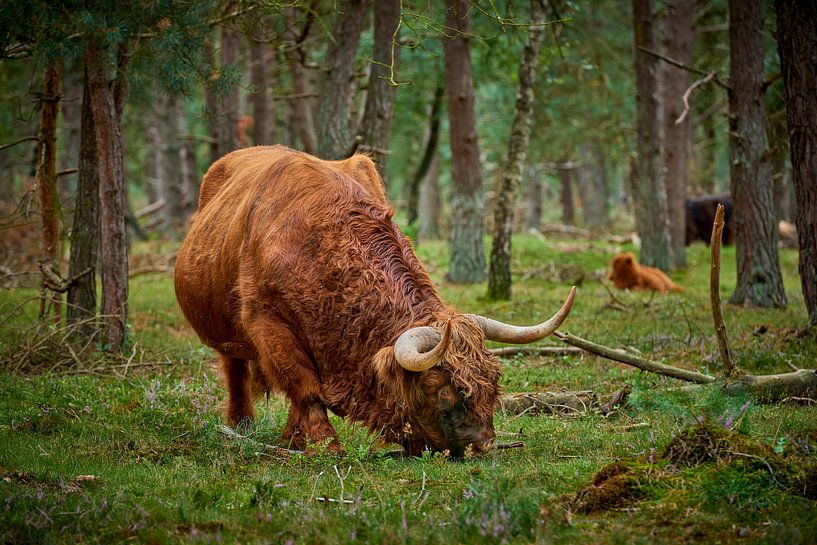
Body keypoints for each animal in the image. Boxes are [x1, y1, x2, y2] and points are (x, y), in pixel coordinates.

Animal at [175, 147, 572, 456]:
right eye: (443, 389)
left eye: (493, 380)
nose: (483, 443)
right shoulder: (268, 323)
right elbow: (304, 388)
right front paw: (328, 448)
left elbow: (300, 396)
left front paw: (294, 441)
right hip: (224, 329)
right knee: (235, 371)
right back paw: (241, 425)